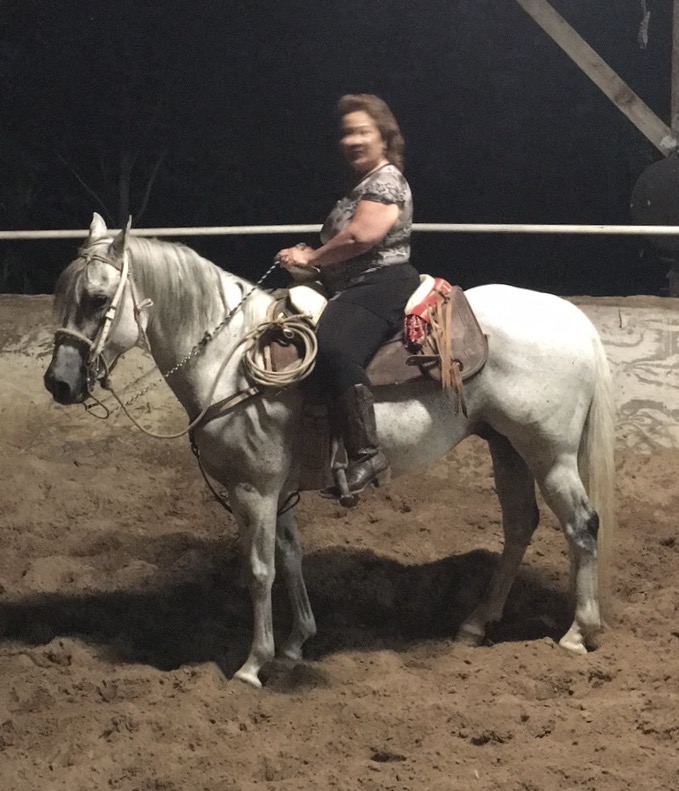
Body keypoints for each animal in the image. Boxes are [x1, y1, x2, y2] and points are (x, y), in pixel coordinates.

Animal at [44, 213, 615, 688]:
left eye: (98, 299)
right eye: (62, 296)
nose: (58, 382)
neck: (230, 358)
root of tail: (576, 321)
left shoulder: (254, 488)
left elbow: (260, 570)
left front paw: (253, 664)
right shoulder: (277, 490)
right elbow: (290, 557)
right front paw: (295, 645)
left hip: (549, 453)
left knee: (581, 525)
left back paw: (578, 632)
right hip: (507, 448)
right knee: (520, 525)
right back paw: (476, 623)